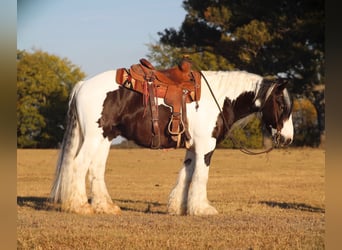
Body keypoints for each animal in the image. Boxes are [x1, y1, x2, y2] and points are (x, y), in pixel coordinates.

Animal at [49, 70, 292, 215]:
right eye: (281, 105)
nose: (288, 139)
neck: (220, 99)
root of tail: (83, 85)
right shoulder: (206, 147)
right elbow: (201, 176)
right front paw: (202, 208)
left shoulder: (193, 148)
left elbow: (186, 174)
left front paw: (179, 207)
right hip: (93, 137)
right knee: (79, 165)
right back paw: (80, 206)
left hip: (104, 138)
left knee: (96, 168)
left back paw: (105, 206)